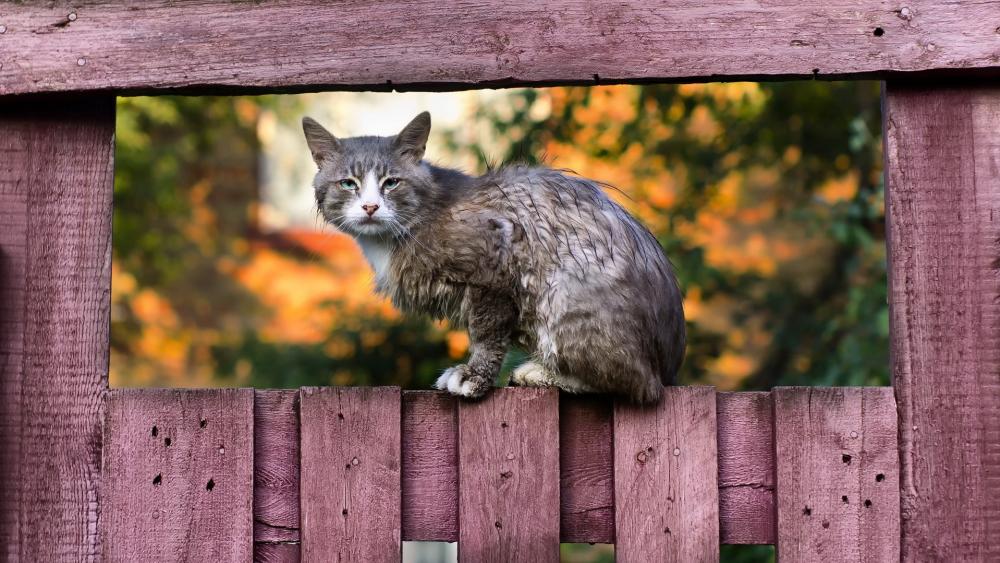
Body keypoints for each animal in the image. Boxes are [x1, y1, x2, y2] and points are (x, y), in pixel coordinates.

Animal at [300, 112, 684, 404]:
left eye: (391, 182)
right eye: (348, 183)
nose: (369, 207)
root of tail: (669, 365)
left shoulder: (494, 265)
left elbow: (486, 333)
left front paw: (474, 376)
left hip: (565, 293)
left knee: (638, 384)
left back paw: (544, 373)